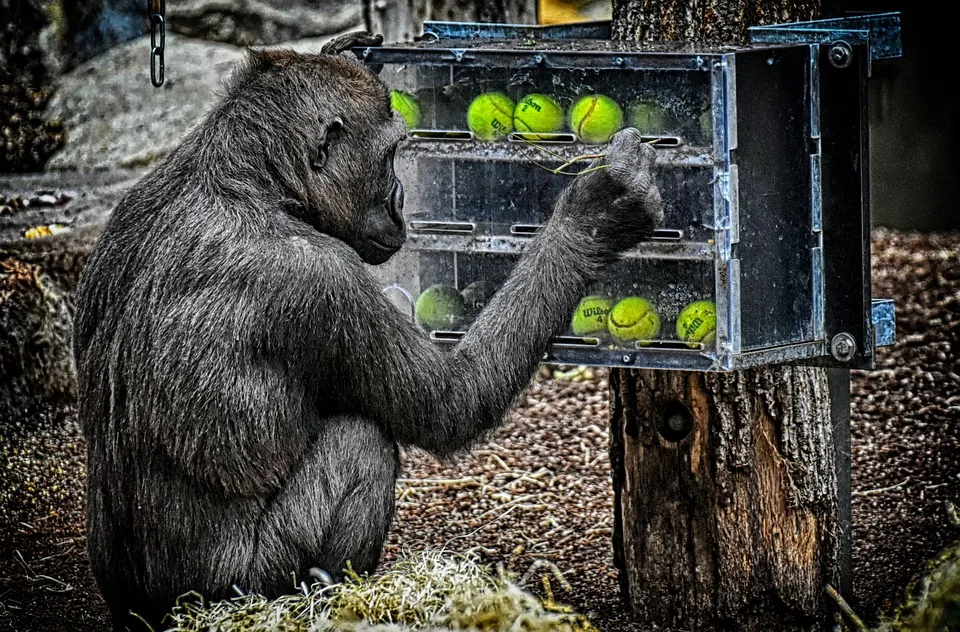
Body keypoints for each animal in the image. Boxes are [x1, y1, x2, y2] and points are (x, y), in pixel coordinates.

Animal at [73, 30, 660, 632]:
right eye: (388, 157)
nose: (401, 200)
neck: (249, 182)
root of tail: (160, 616)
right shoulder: (325, 280)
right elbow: (451, 402)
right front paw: (596, 215)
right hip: (242, 593)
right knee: (361, 443)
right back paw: (329, 592)